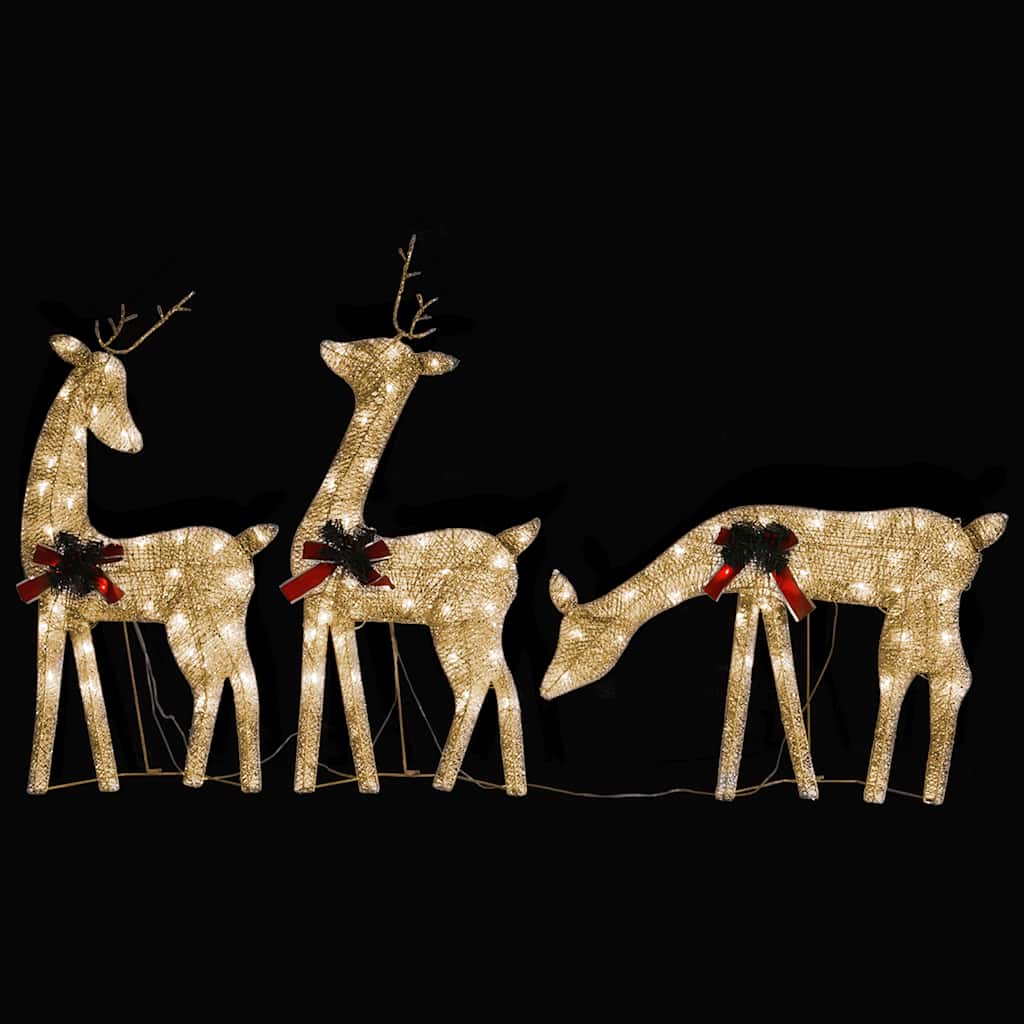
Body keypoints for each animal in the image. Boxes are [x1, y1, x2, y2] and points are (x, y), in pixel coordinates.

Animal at [18, 297, 277, 794]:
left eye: (121, 387)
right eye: (105, 388)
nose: (134, 442)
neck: (58, 528)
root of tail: (243, 546)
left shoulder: (50, 608)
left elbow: (48, 691)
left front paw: (36, 785)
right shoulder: (78, 618)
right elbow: (89, 694)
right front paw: (107, 781)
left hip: (213, 618)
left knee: (234, 678)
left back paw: (230, 781)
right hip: (202, 625)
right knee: (223, 680)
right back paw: (207, 778)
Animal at [283, 236, 539, 796]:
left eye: (374, 348)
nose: (328, 344)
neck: (338, 524)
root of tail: (511, 546)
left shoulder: (323, 607)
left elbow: (331, 691)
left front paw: (334, 784)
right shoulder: (335, 614)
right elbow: (336, 688)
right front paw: (345, 783)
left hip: (464, 623)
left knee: (483, 685)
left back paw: (453, 782)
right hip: (478, 626)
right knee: (497, 685)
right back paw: (496, 784)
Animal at [541, 505, 1007, 805]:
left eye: (583, 638)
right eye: (561, 638)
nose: (545, 690)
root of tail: (972, 537)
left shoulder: (765, 595)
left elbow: (779, 676)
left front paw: (806, 789)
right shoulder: (758, 595)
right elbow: (753, 675)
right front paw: (731, 791)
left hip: (921, 612)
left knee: (927, 676)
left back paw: (887, 793)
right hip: (930, 614)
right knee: (945, 676)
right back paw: (914, 791)